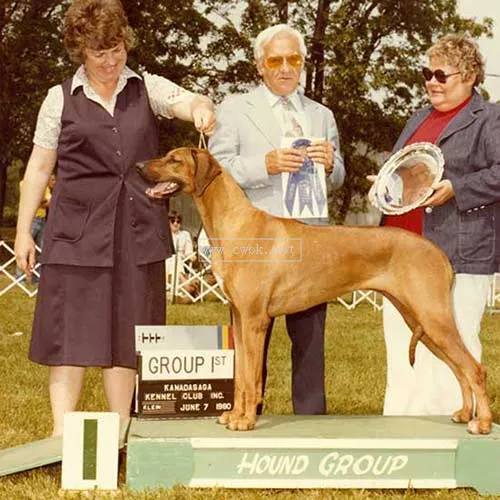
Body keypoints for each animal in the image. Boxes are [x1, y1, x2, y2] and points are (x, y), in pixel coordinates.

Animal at [136, 147, 492, 434]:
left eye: (174, 159)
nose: (139, 165)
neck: (237, 224)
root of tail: (439, 254)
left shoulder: (254, 320)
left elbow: (251, 377)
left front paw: (246, 420)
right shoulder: (238, 317)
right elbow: (240, 376)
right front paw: (235, 415)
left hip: (433, 318)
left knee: (474, 368)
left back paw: (483, 423)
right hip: (421, 322)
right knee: (459, 369)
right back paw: (464, 413)